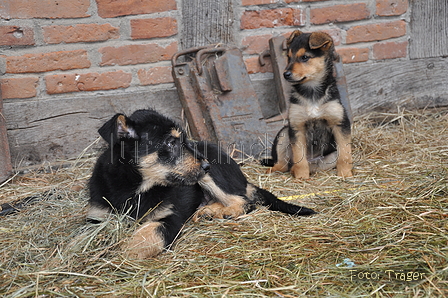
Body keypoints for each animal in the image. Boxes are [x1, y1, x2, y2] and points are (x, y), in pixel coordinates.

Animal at [88, 108, 316, 258]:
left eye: (184, 141)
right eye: (170, 143)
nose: (205, 164)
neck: (136, 188)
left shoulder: (171, 218)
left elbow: (148, 236)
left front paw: (121, 254)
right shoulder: (96, 217)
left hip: (213, 176)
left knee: (244, 200)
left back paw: (225, 212)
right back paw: (209, 212)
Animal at [262, 30, 354, 179]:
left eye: (304, 57)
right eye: (288, 57)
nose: (285, 74)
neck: (312, 91)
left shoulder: (340, 123)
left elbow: (345, 154)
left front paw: (345, 174)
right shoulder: (296, 126)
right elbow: (300, 158)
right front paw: (301, 178)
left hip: (328, 158)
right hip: (284, 133)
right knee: (284, 164)